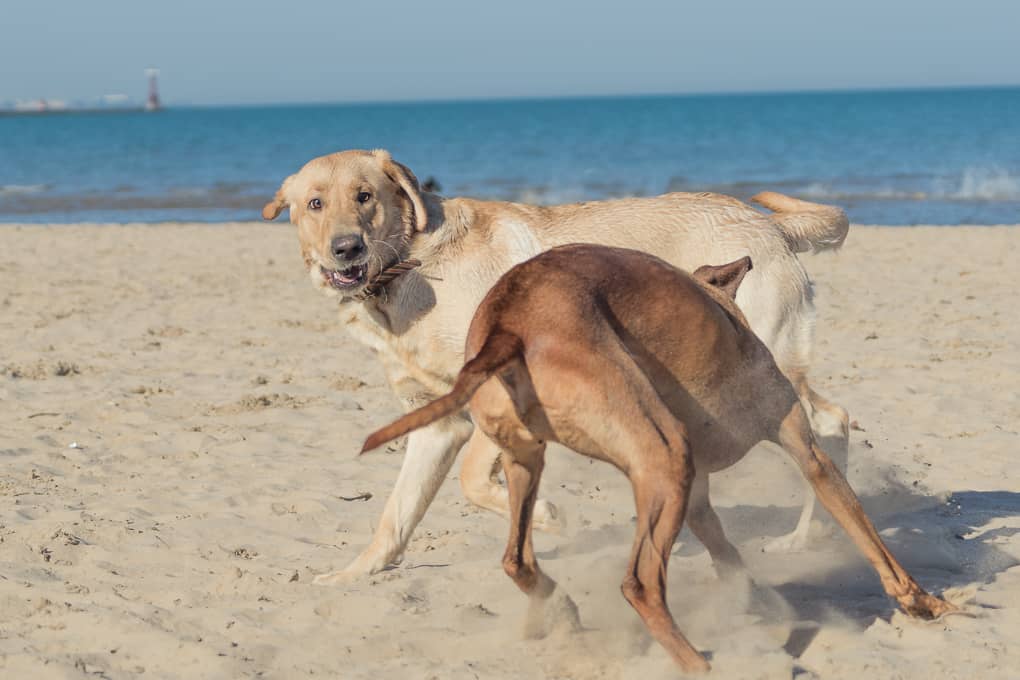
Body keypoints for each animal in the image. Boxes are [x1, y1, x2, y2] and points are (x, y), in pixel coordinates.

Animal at [361, 245, 954, 676]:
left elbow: (729, 556)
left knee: (518, 561)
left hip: (533, 460)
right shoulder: (805, 451)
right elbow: (871, 539)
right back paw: (699, 663)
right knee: (639, 583)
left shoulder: (697, 501)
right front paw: (923, 603)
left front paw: (755, 601)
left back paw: (562, 612)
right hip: (663, 454)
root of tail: (507, 323)